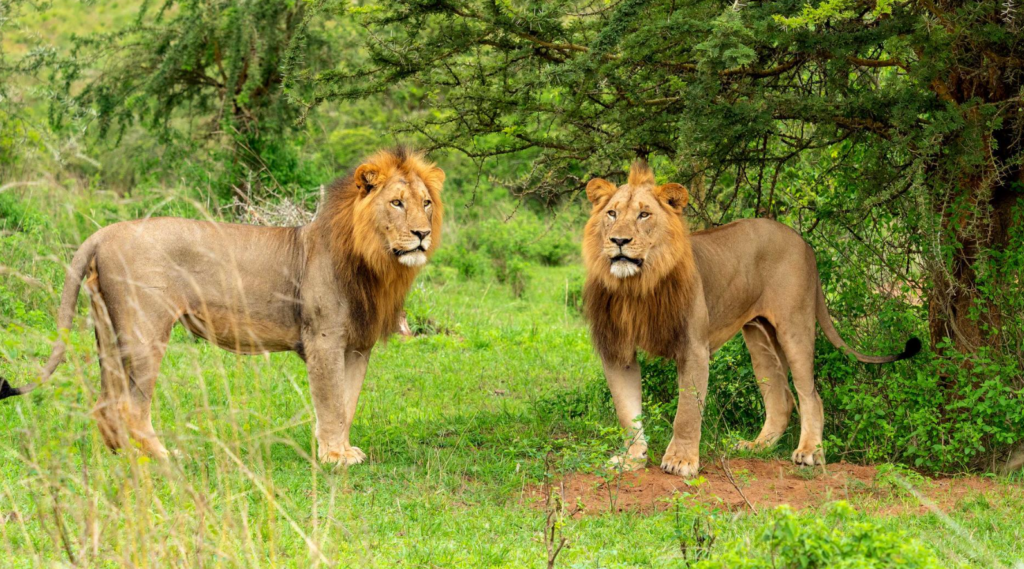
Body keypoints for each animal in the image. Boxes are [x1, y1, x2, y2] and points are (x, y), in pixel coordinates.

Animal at [0, 147, 444, 465]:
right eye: (396, 203)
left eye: (426, 203)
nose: (422, 234)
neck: (376, 263)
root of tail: (104, 232)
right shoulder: (323, 339)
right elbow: (331, 403)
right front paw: (334, 457)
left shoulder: (356, 346)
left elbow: (347, 404)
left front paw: (341, 449)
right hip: (145, 333)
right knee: (133, 407)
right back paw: (162, 457)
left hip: (107, 333)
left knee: (106, 402)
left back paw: (122, 455)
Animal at [582, 161, 920, 476]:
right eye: (611, 213)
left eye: (644, 215)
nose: (619, 240)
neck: (637, 286)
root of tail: (803, 241)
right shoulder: (617, 350)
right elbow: (627, 413)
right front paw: (631, 458)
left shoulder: (693, 347)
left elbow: (687, 411)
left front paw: (680, 460)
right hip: (760, 337)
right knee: (781, 399)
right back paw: (758, 446)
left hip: (794, 327)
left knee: (810, 394)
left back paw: (809, 452)